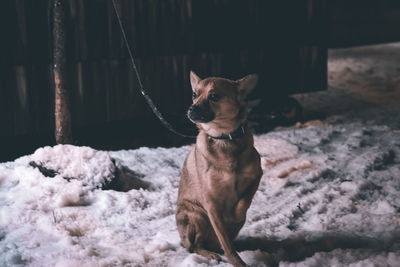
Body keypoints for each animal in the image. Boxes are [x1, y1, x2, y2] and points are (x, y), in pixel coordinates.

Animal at [176, 70, 262, 266]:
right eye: (194, 94)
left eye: (214, 96)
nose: (191, 108)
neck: (224, 137)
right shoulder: (211, 203)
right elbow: (226, 242)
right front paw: (237, 262)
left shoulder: (257, 176)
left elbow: (244, 201)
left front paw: (237, 214)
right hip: (197, 216)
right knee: (196, 245)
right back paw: (210, 254)